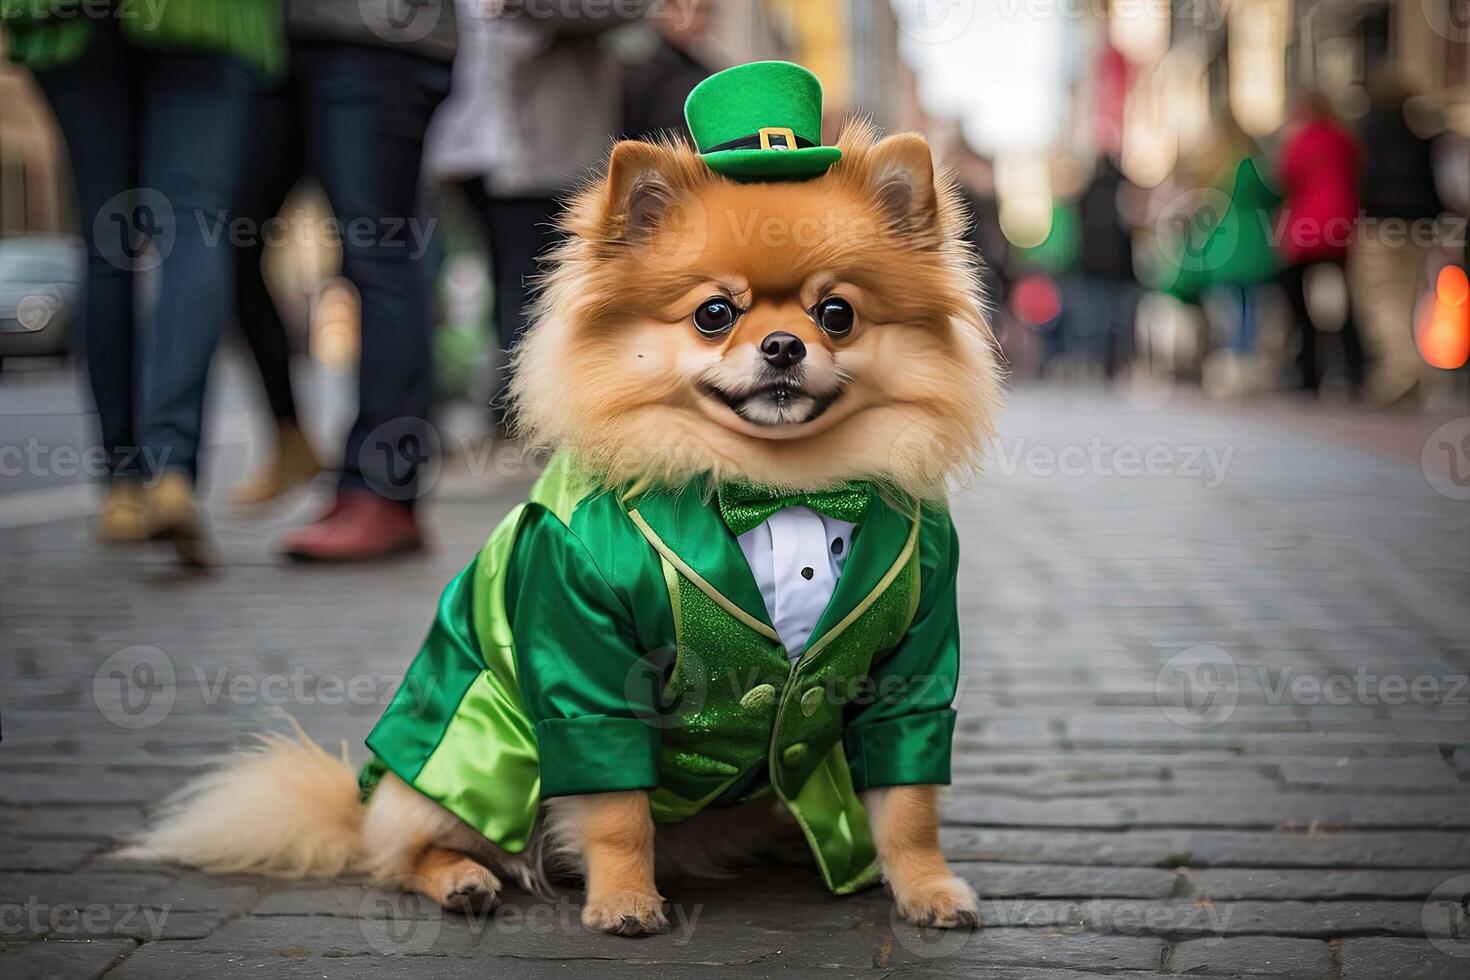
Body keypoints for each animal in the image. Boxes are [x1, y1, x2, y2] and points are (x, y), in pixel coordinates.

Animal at [129, 119, 999, 940]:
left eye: (837, 314)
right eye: (714, 314)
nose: (783, 344)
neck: (773, 485)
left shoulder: (913, 666)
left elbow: (910, 801)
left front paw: (926, 887)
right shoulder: (582, 657)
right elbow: (615, 811)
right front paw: (623, 901)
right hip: (480, 753)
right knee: (400, 852)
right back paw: (461, 878)